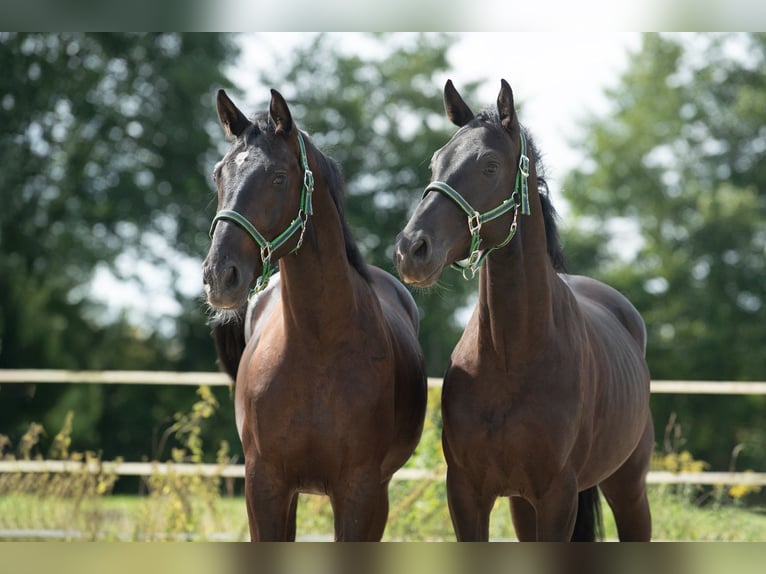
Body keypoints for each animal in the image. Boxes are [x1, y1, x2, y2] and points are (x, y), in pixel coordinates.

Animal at [202, 88, 427, 541]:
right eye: (219, 174)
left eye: (277, 177)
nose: (220, 275)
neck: (316, 346)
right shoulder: (265, 485)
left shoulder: (360, 491)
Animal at [393, 79, 653, 541]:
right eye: (436, 163)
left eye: (490, 165)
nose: (412, 249)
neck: (510, 357)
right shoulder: (467, 494)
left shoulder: (557, 497)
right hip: (520, 503)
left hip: (628, 487)